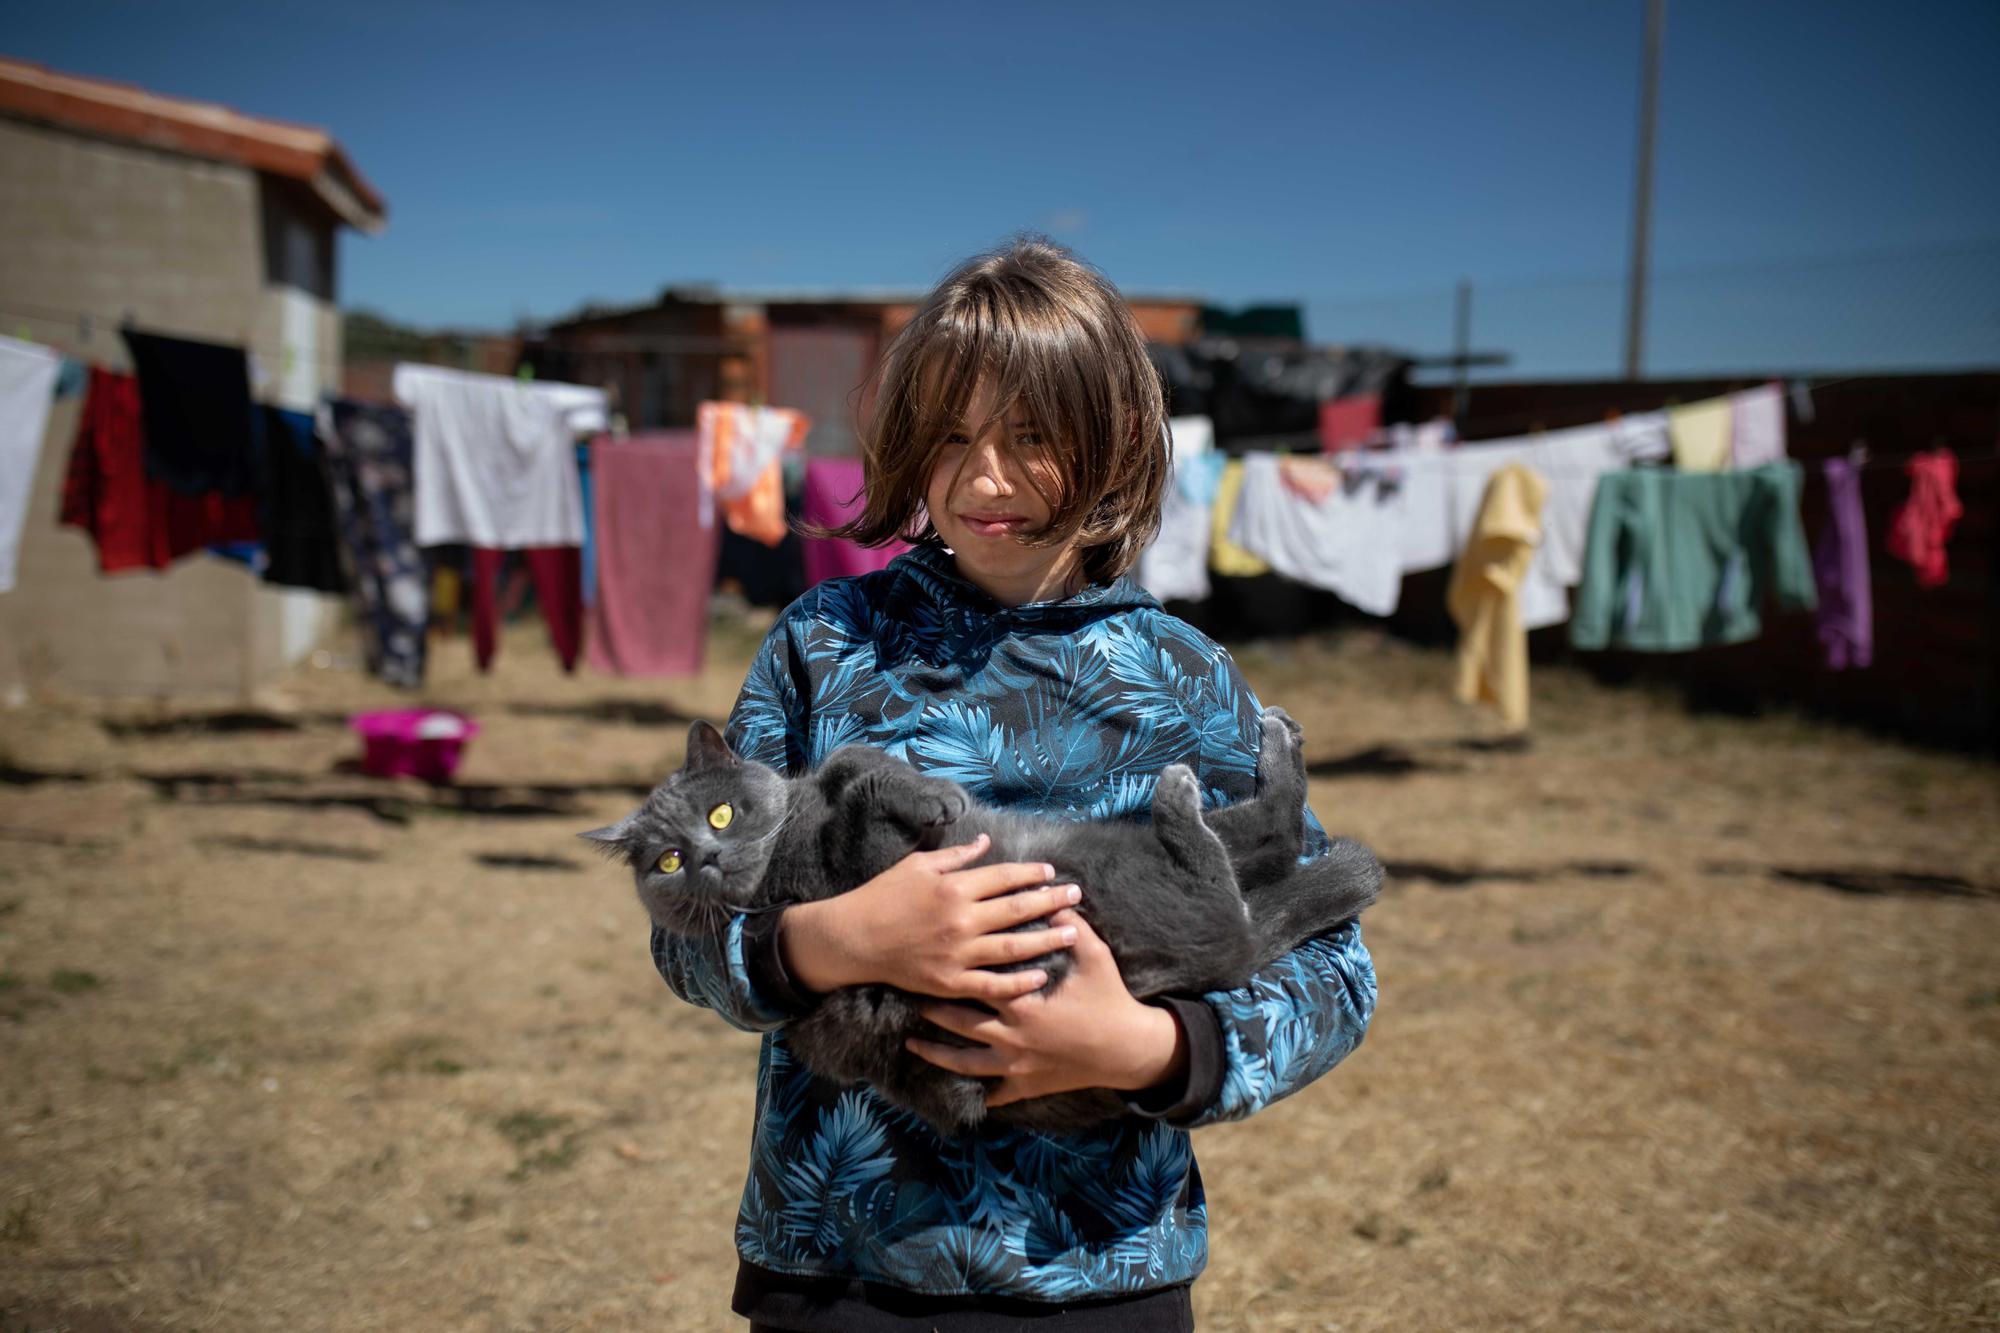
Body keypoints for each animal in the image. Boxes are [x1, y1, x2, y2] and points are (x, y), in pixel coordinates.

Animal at [584, 704, 1384, 1128]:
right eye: (666, 861)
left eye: (720, 812)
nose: (704, 857)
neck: (785, 851)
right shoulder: (865, 865)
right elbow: (859, 787)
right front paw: (931, 796)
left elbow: (844, 757)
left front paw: (901, 779)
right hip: (1116, 865)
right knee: (1248, 865)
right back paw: (1196, 792)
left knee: (1266, 849)